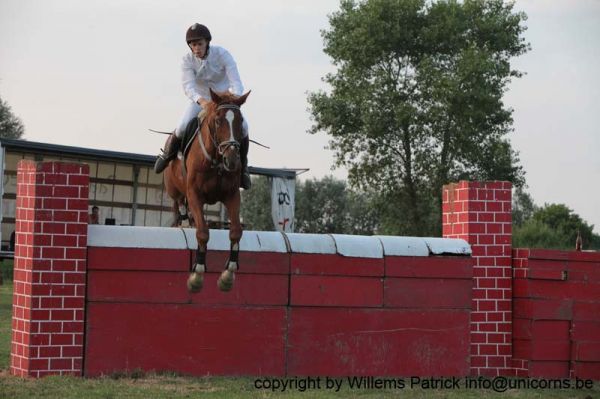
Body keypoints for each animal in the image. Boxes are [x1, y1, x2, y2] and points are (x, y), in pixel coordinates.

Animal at [163, 88, 250, 294]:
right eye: (218, 121)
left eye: (240, 121)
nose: (232, 160)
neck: (217, 160)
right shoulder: (195, 194)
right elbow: (203, 232)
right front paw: (197, 276)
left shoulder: (232, 195)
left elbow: (236, 231)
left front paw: (227, 276)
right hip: (175, 190)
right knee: (179, 204)